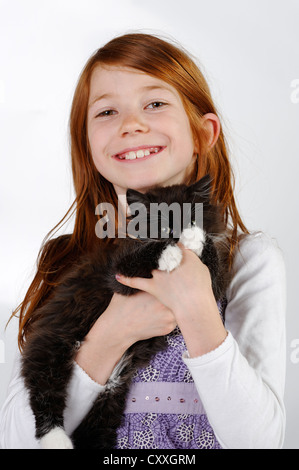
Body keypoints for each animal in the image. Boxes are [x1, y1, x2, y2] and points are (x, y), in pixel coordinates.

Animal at [21, 174, 232, 450]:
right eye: (162, 229)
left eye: (191, 218)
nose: (177, 236)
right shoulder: (118, 271)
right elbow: (140, 257)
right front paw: (168, 253)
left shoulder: (211, 288)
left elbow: (213, 264)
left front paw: (195, 238)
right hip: (52, 345)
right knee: (44, 389)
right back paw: (57, 440)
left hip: (110, 399)